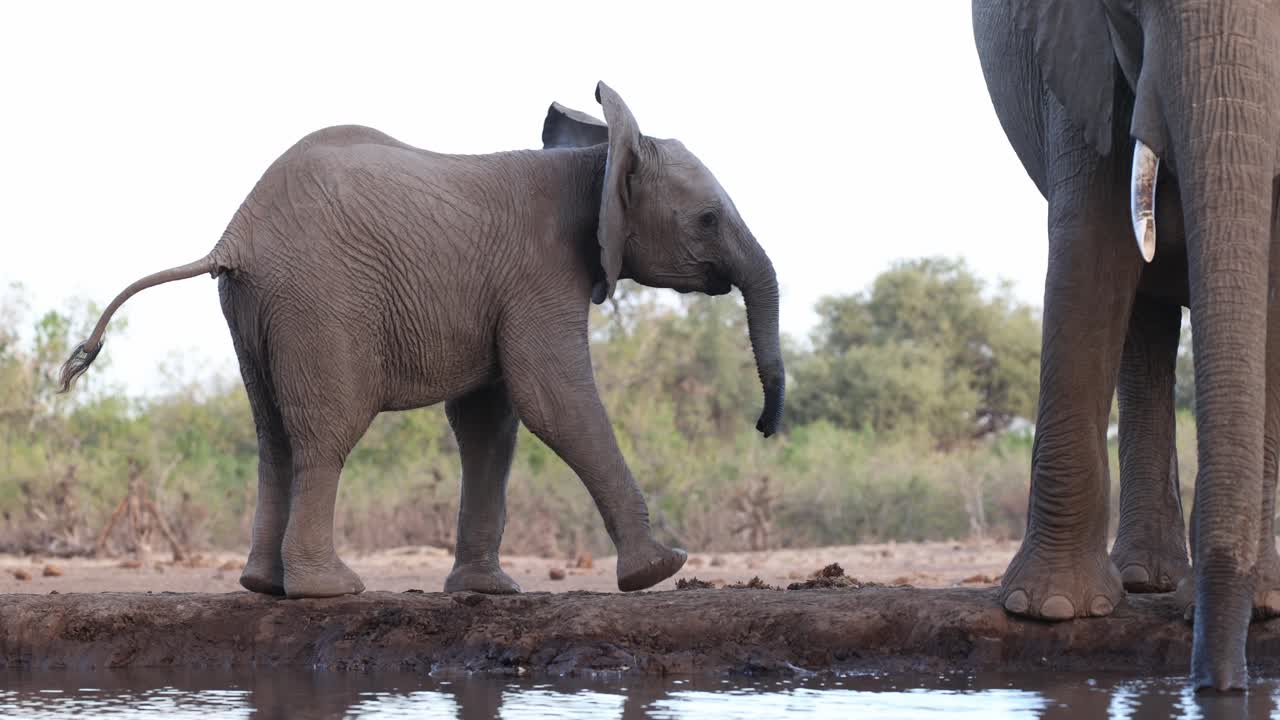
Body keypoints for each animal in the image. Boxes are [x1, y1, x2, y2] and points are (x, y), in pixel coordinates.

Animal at [56, 81, 785, 599]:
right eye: (707, 219)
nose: (763, 426)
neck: (598, 158)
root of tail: (234, 237)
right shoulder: (540, 274)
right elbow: (553, 400)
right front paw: (659, 570)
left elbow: (491, 422)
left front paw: (489, 593)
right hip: (319, 302)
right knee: (325, 434)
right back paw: (328, 591)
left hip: (255, 308)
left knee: (272, 436)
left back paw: (263, 587)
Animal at [973, 0, 1280, 690]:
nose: (1220, 686)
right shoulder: (1077, 52)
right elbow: (1092, 246)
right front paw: (1049, 610)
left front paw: (1263, 606)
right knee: (1143, 320)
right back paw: (1146, 581)